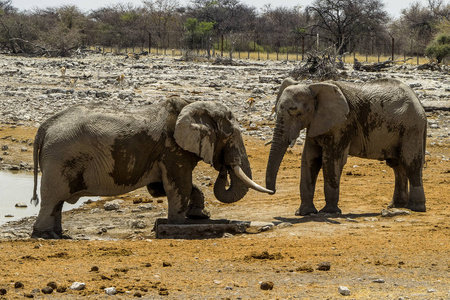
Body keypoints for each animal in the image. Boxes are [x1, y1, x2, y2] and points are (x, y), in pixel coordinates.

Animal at [31, 98, 272, 239]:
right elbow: (179, 185)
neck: (192, 105)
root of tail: (44, 126)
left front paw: (200, 216)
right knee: (53, 199)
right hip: (60, 159)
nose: (224, 167)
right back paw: (47, 236)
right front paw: (178, 223)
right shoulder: (172, 149)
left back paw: (58, 234)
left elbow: (164, 187)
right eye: (231, 136)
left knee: (57, 202)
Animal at [266, 78, 428, 216]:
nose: (272, 191)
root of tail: (420, 103)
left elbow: (331, 160)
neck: (314, 86)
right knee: (397, 165)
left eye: (297, 113)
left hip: (411, 128)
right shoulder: (316, 123)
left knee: (411, 163)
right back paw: (396, 206)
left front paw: (329, 212)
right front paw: (304, 213)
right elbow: (309, 160)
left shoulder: (342, 124)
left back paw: (415, 208)